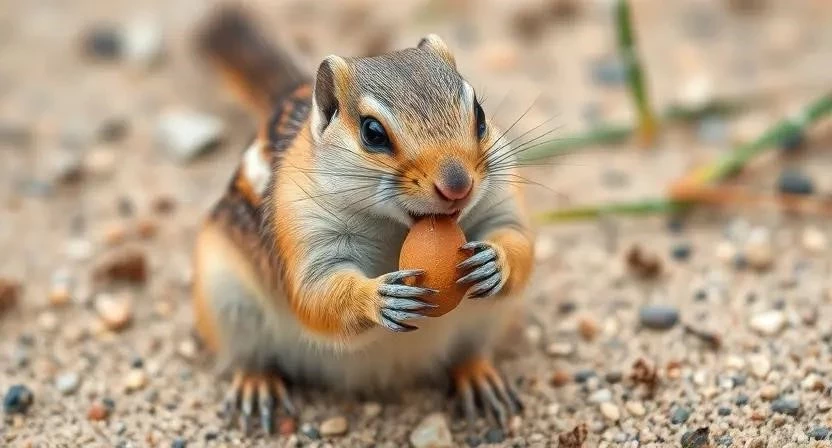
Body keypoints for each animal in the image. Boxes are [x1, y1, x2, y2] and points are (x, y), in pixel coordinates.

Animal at [192, 6, 535, 435]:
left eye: (480, 115)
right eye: (373, 132)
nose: (458, 185)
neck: (397, 227)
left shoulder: (500, 197)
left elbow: (519, 240)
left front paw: (495, 262)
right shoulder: (303, 227)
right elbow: (315, 294)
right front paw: (377, 298)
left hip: (486, 320)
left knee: (468, 352)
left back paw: (479, 378)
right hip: (227, 298)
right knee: (250, 356)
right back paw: (257, 385)